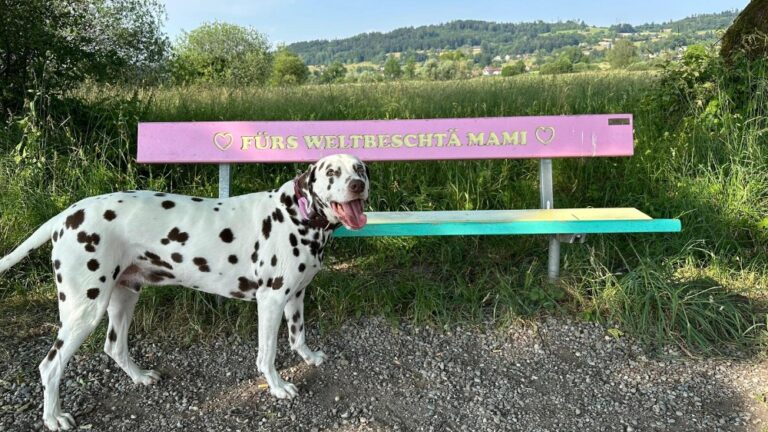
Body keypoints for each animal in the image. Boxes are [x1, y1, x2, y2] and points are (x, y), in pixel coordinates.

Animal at [0, 154, 368, 430]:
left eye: (360, 168)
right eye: (332, 172)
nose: (358, 184)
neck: (296, 215)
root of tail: (67, 214)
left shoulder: (295, 297)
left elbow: (298, 335)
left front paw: (309, 358)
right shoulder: (272, 301)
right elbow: (268, 354)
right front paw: (277, 387)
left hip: (124, 297)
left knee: (114, 346)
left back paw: (140, 377)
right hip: (84, 310)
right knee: (50, 366)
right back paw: (53, 417)